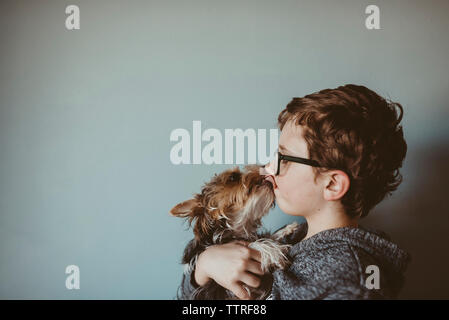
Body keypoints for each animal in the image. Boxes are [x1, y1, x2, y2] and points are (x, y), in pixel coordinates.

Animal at [169, 165, 298, 300]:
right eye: (232, 177)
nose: (263, 167)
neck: (237, 229)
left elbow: (263, 237)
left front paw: (287, 229)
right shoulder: (234, 290)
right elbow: (253, 244)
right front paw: (272, 250)